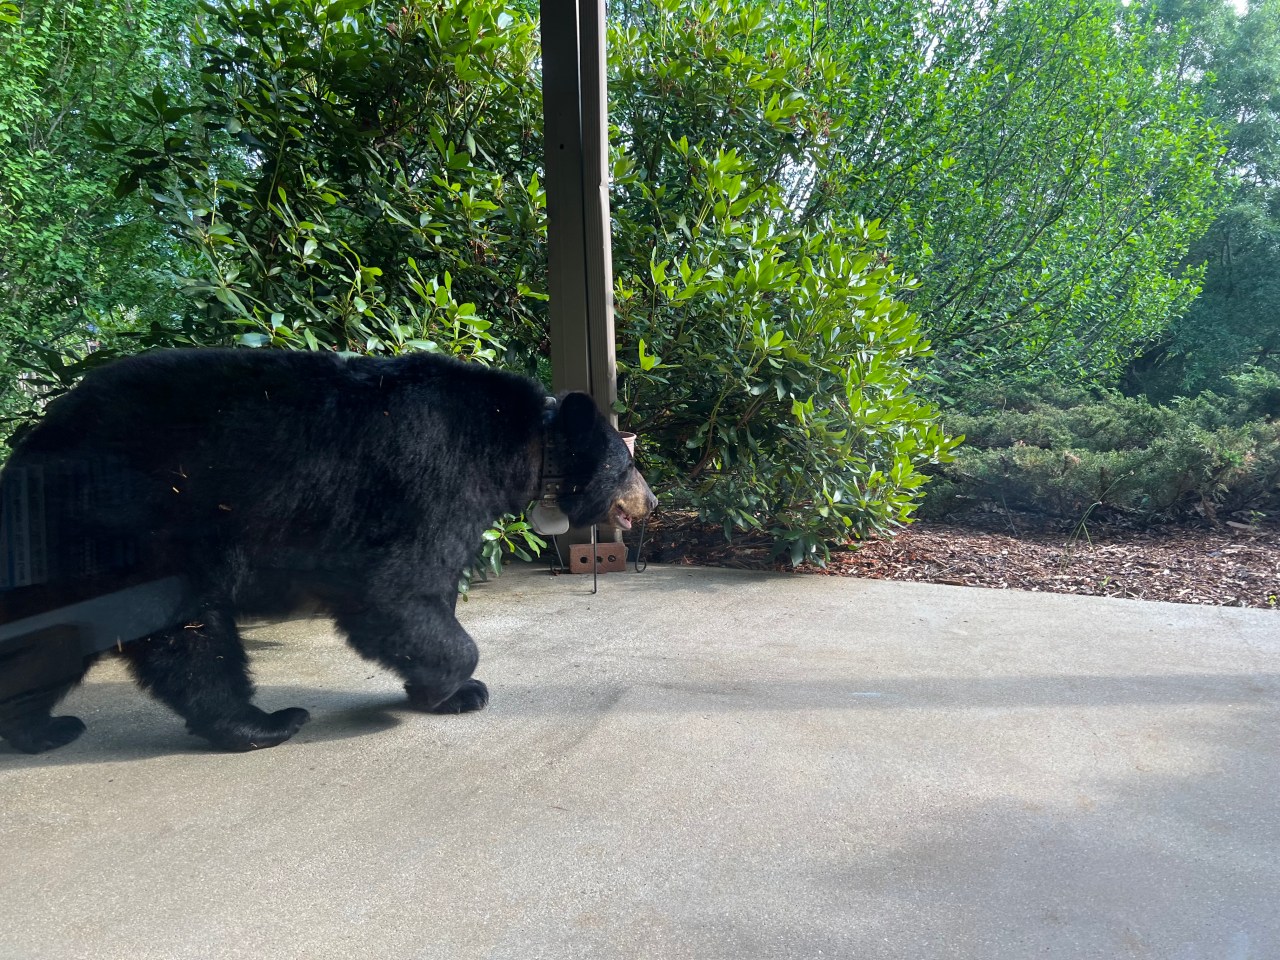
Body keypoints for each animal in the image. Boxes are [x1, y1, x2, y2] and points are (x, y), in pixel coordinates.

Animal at [0, 348, 655, 754]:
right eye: (628, 465)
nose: (649, 498)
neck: (526, 442)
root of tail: (34, 443)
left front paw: (444, 693)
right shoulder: (433, 477)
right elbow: (394, 589)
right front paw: (454, 686)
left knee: (51, 641)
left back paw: (40, 728)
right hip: (144, 523)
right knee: (187, 633)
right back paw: (261, 723)